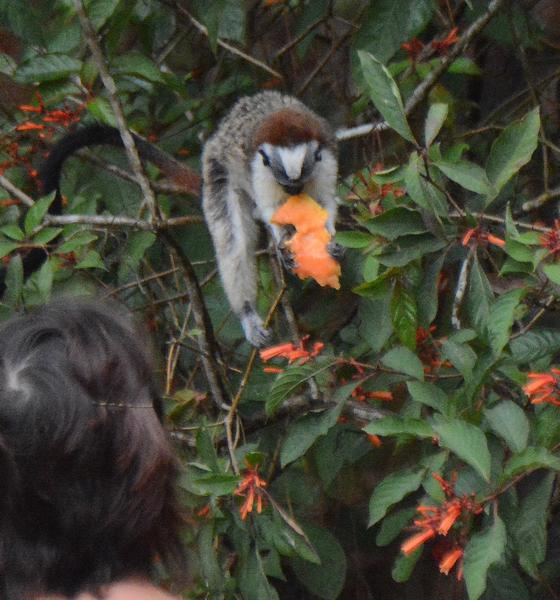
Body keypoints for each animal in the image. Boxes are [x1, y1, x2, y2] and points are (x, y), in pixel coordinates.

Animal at [201, 92, 342, 350]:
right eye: (285, 183)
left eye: (298, 182)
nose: (293, 190)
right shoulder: (259, 169)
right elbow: (270, 210)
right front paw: (283, 242)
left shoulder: (325, 160)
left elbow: (325, 202)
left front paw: (331, 245)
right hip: (216, 165)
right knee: (233, 242)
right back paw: (247, 313)